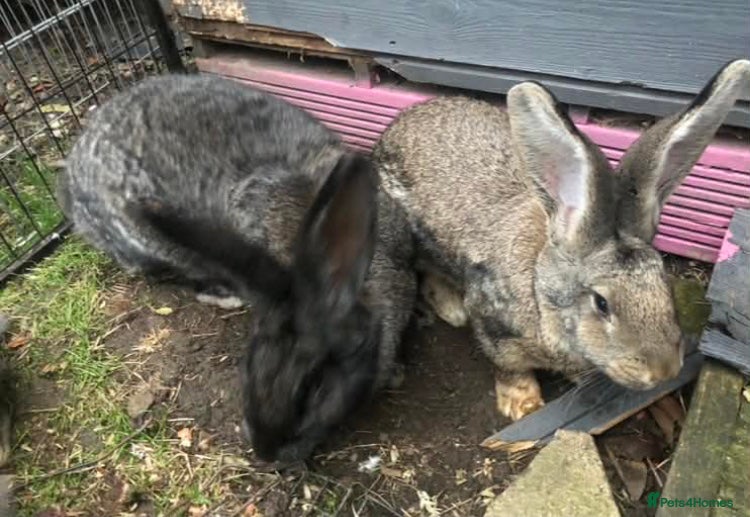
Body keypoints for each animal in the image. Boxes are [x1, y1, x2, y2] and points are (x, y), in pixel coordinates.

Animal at [373, 58, 750, 421]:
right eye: (601, 303)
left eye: (664, 286)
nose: (664, 371)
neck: (541, 293)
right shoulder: (494, 325)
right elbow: (508, 366)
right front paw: (523, 404)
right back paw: (453, 309)